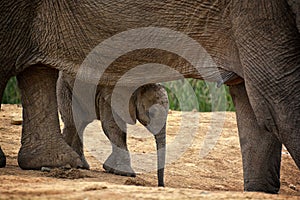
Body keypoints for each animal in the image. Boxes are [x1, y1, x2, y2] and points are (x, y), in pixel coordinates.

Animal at [0, 0, 298, 194]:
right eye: (152, 114)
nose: (161, 186)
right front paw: (125, 174)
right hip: (68, 88)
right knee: (76, 119)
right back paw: (68, 164)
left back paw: (57, 164)